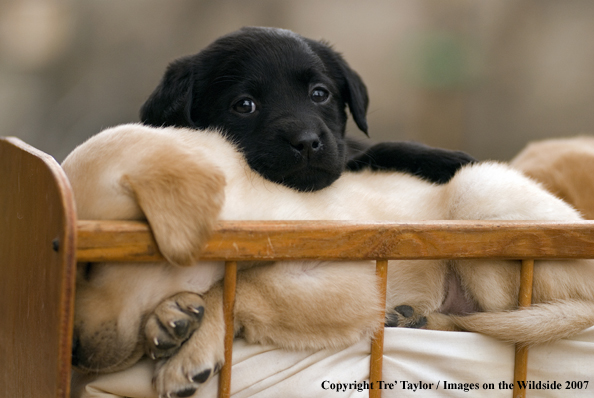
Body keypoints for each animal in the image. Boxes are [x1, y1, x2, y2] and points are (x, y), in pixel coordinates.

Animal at [61, 123, 594, 396]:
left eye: (91, 266)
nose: (73, 356)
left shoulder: (350, 283)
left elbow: (241, 286)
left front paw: (190, 346)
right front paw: (173, 314)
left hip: (476, 192)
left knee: (502, 320)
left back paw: (417, 318)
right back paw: (413, 318)